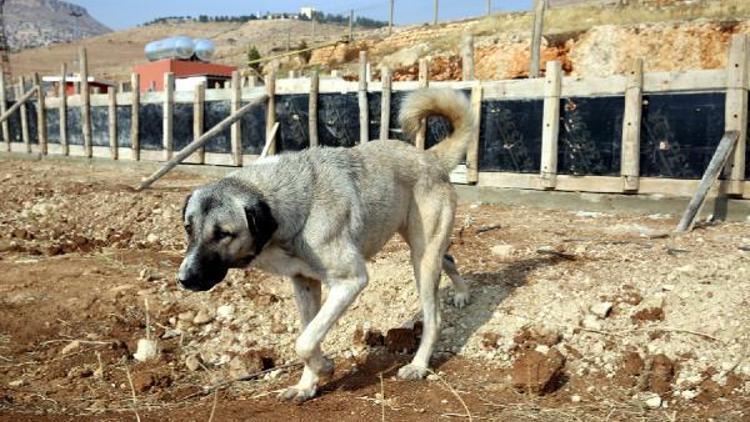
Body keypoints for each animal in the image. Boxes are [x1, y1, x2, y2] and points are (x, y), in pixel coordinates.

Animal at [178, 88, 472, 402]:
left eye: (223, 233)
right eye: (188, 228)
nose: (183, 279)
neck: (292, 202)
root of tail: (430, 157)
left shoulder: (350, 282)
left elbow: (304, 342)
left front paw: (326, 368)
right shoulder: (304, 282)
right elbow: (310, 335)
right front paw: (307, 385)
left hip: (422, 259)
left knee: (434, 318)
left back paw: (418, 365)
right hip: (425, 249)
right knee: (449, 258)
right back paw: (462, 294)